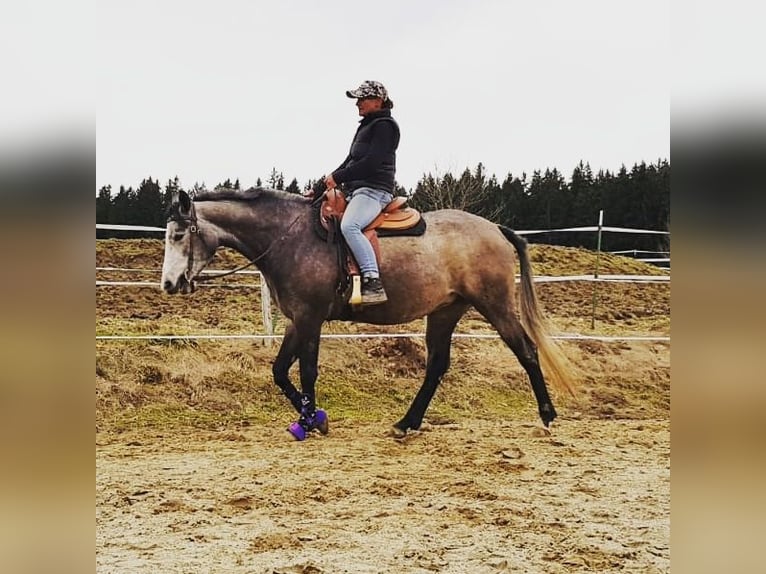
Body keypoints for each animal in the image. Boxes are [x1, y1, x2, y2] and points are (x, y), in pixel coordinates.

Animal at [161, 187, 575, 440]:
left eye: (179, 235)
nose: (168, 284)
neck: (289, 238)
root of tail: (496, 229)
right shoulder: (297, 320)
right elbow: (279, 371)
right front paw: (312, 417)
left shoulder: (310, 318)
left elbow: (307, 371)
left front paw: (310, 421)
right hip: (445, 312)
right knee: (436, 366)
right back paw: (407, 423)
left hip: (496, 304)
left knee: (527, 351)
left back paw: (548, 415)